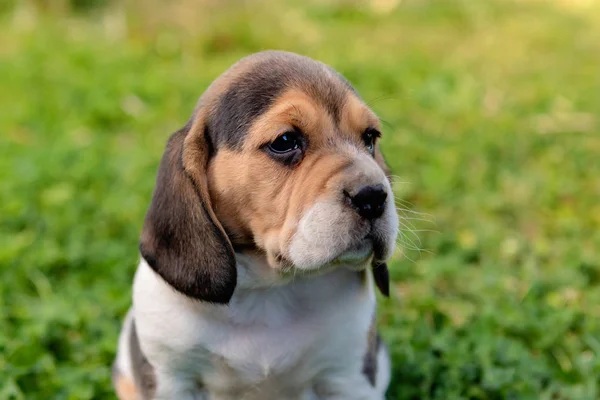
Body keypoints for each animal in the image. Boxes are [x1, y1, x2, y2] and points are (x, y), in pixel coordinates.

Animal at [115, 50, 400, 400]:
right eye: (285, 141)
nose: (374, 196)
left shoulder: (348, 376)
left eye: (370, 138)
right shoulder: (171, 378)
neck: (267, 290)